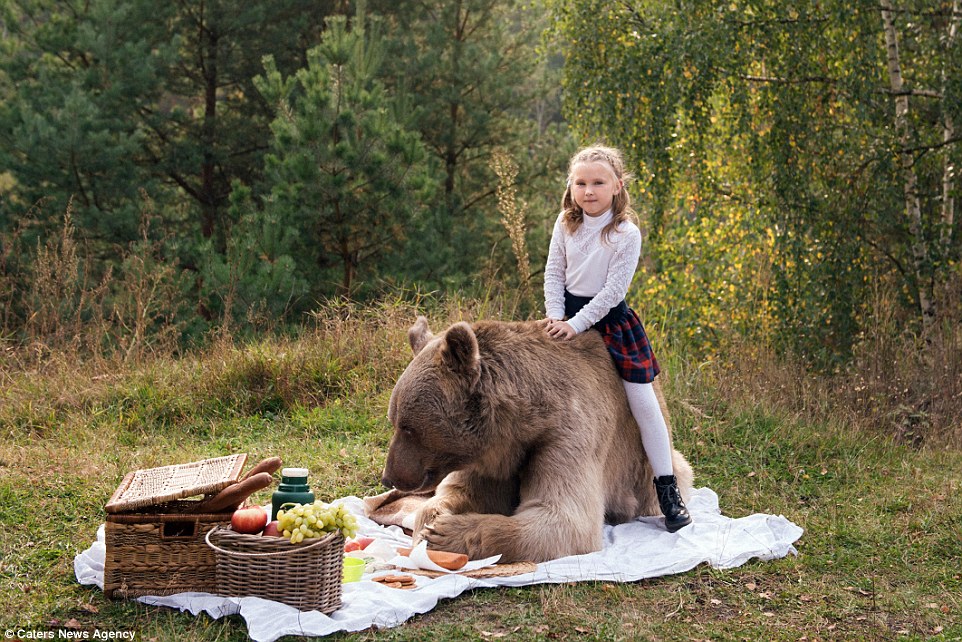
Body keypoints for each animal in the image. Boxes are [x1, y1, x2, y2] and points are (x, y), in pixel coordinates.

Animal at [380, 316, 688, 560]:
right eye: (394, 420)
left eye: (408, 427)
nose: (388, 477)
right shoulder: (489, 458)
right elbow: (460, 492)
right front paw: (431, 523)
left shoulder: (566, 433)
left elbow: (563, 517)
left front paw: (443, 534)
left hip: (644, 470)